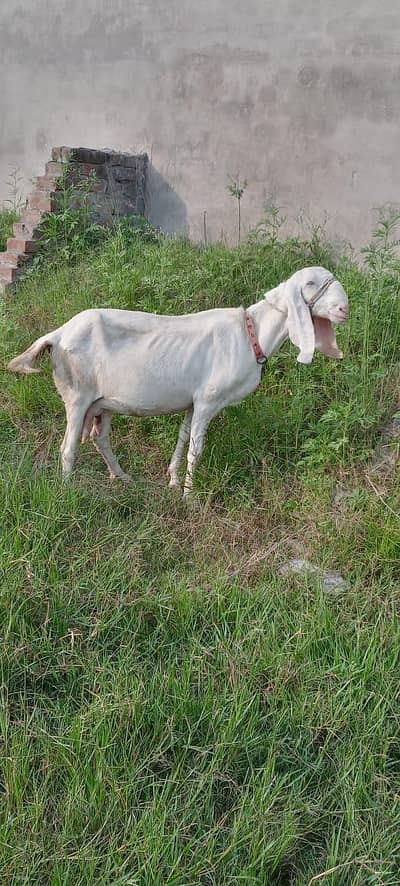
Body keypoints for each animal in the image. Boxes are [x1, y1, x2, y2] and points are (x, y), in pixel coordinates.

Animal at [8, 266, 349, 496]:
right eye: (310, 283)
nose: (344, 308)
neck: (250, 333)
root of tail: (56, 335)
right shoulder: (208, 400)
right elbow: (195, 449)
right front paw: (189, 496)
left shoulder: (192, 402)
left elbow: (183, 438)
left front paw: (172, 480)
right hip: (77, 396)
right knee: (68, 448)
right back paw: (68, 492)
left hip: (101, 404)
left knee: (99, 438)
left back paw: (123, 477)